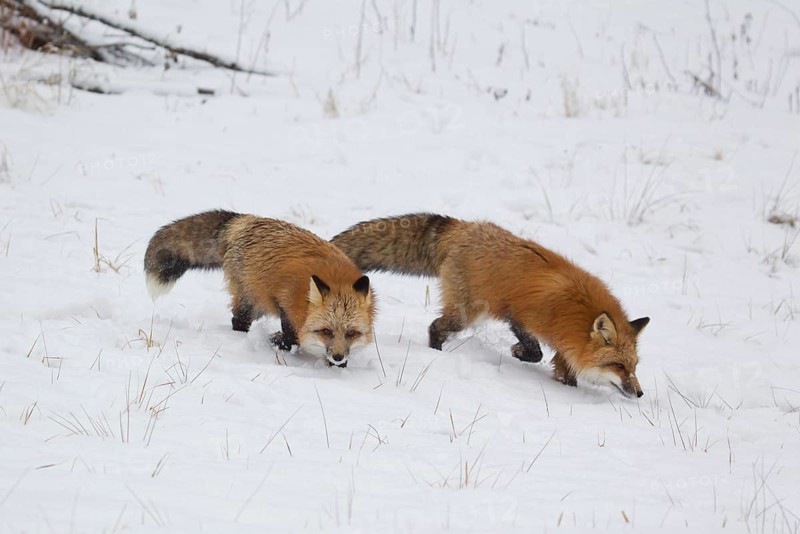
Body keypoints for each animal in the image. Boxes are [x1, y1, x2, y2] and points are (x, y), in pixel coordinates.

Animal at [144, 210, 375, 367]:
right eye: (326, 331)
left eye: (351, 333)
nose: (338, 356)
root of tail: (247, 220)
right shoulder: (283, 301)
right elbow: (291, 337)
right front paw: (277, 341)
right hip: (252, 301)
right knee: (238, 320)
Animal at [332, 213, 649, 397]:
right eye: (618, 366)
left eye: (633, 367)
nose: (639, 393)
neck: (577, 308)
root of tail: (464, 227)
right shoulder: (520, 316)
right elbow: (534, 351)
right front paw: (518, 352)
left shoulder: (566, 343)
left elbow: (564, 368)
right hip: (465, 314)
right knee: (435, 326)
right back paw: (436, 353)